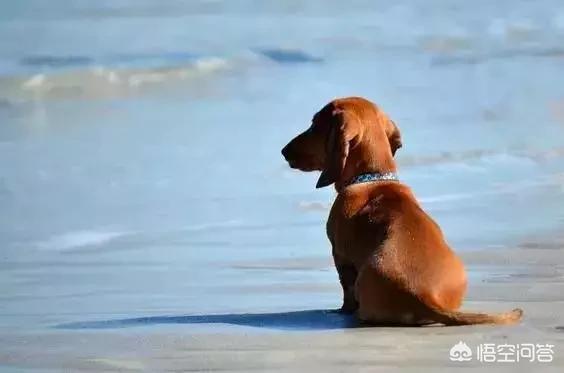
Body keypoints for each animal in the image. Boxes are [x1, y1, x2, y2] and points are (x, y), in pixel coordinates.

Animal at [282, 96, 524, 326]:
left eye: (315, 125)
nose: (284, 151)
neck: (373, 179)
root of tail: (425, 296)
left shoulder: (340, 255)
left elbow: (346, 290)